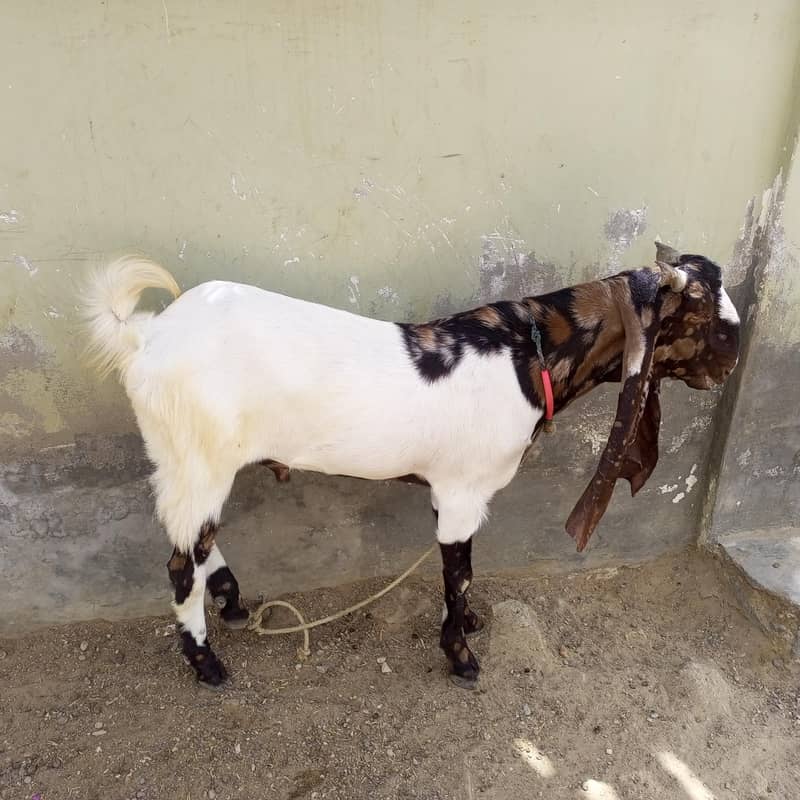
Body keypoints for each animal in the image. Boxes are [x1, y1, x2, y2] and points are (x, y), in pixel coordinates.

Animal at [83, 242, 740, 689]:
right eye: (707, 315)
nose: (728, 368)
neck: (530, 354)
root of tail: (146, 339)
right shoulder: (461, 492)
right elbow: (459, 572)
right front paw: (462, 655)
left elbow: (464, 570)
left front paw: (469, 626)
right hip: (197, 457)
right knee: (179, 564)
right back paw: (207, 662)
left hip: (192, 464)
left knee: (194, 543)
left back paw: (233, 601)